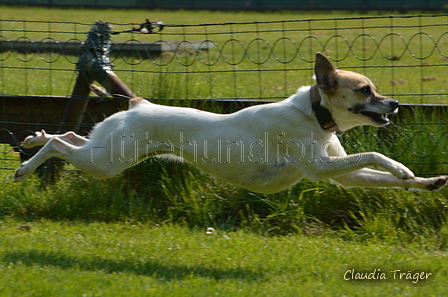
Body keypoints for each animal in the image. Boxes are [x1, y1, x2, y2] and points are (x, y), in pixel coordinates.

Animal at [14, 52, 448, 193]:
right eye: (364, 90)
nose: (394, 103)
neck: (314, 115)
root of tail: (137, 104)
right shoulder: (321, 166)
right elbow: (375, 154)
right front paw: (402, 167)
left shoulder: (343, 173)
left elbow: (383, 177)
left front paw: (428, 181)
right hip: (106, 162)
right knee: (61, 145)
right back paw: (25, 164)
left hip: (106, 152)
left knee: (70, 136)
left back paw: (34, 138)